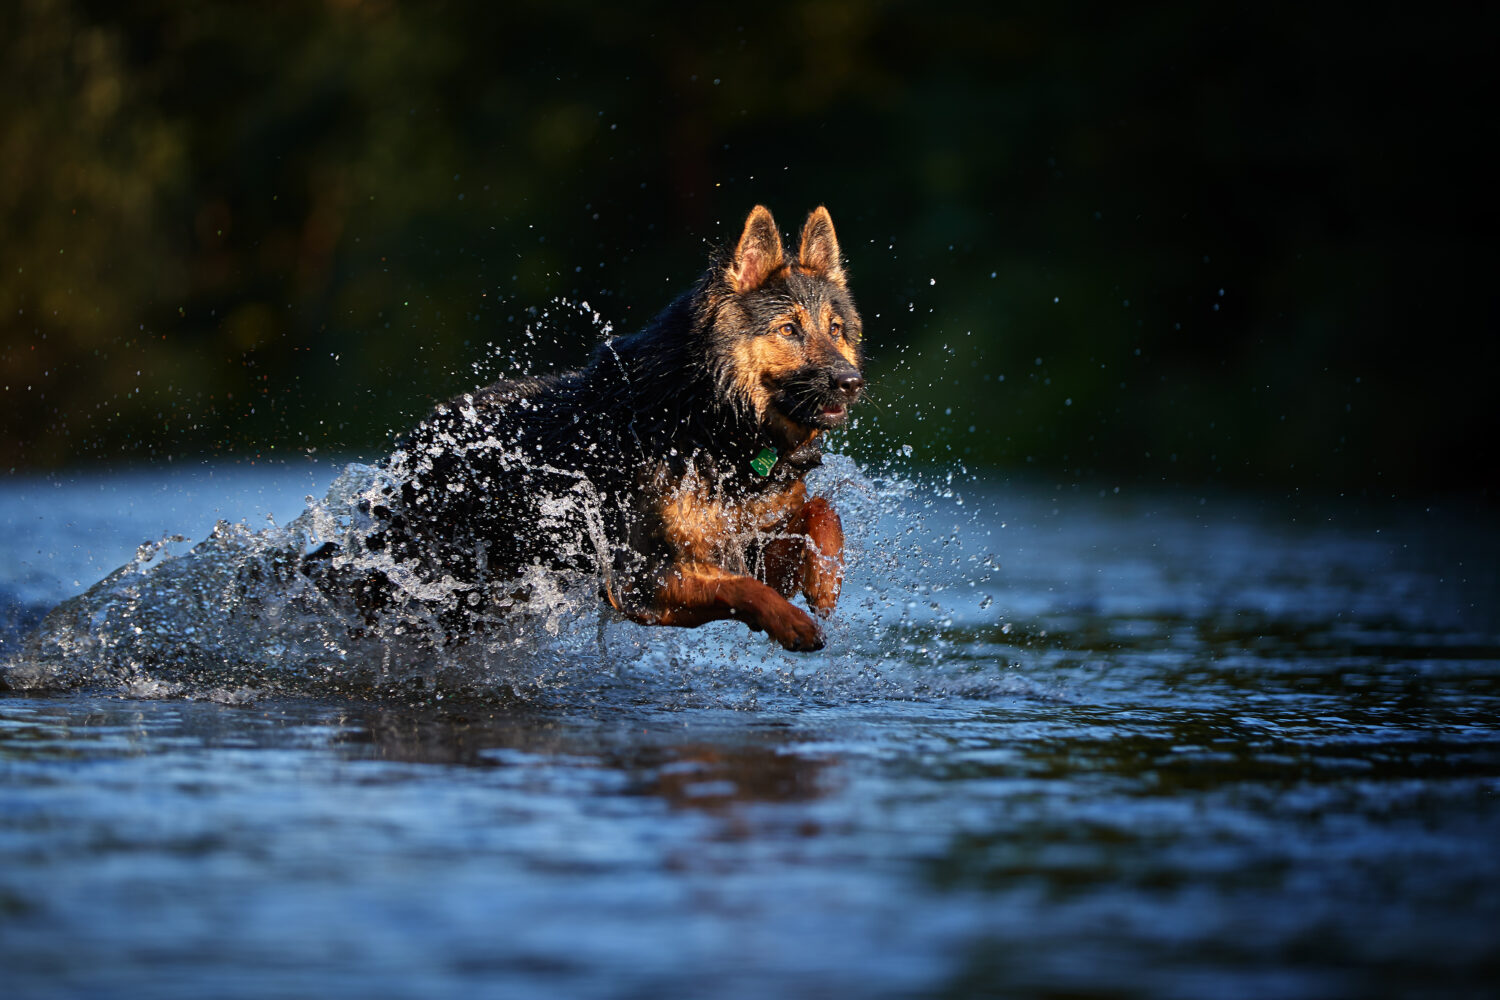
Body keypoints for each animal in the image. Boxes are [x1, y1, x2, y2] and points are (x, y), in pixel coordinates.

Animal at [321, 206, 864, 653]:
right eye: (789, 329)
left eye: (835, 330)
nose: (851, 382)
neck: (708, 420)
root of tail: (411, 443)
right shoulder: (640, 578)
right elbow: (739, 587)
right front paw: (793, 622)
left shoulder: (749, 543)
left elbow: (820, 512)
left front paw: (826, 579)